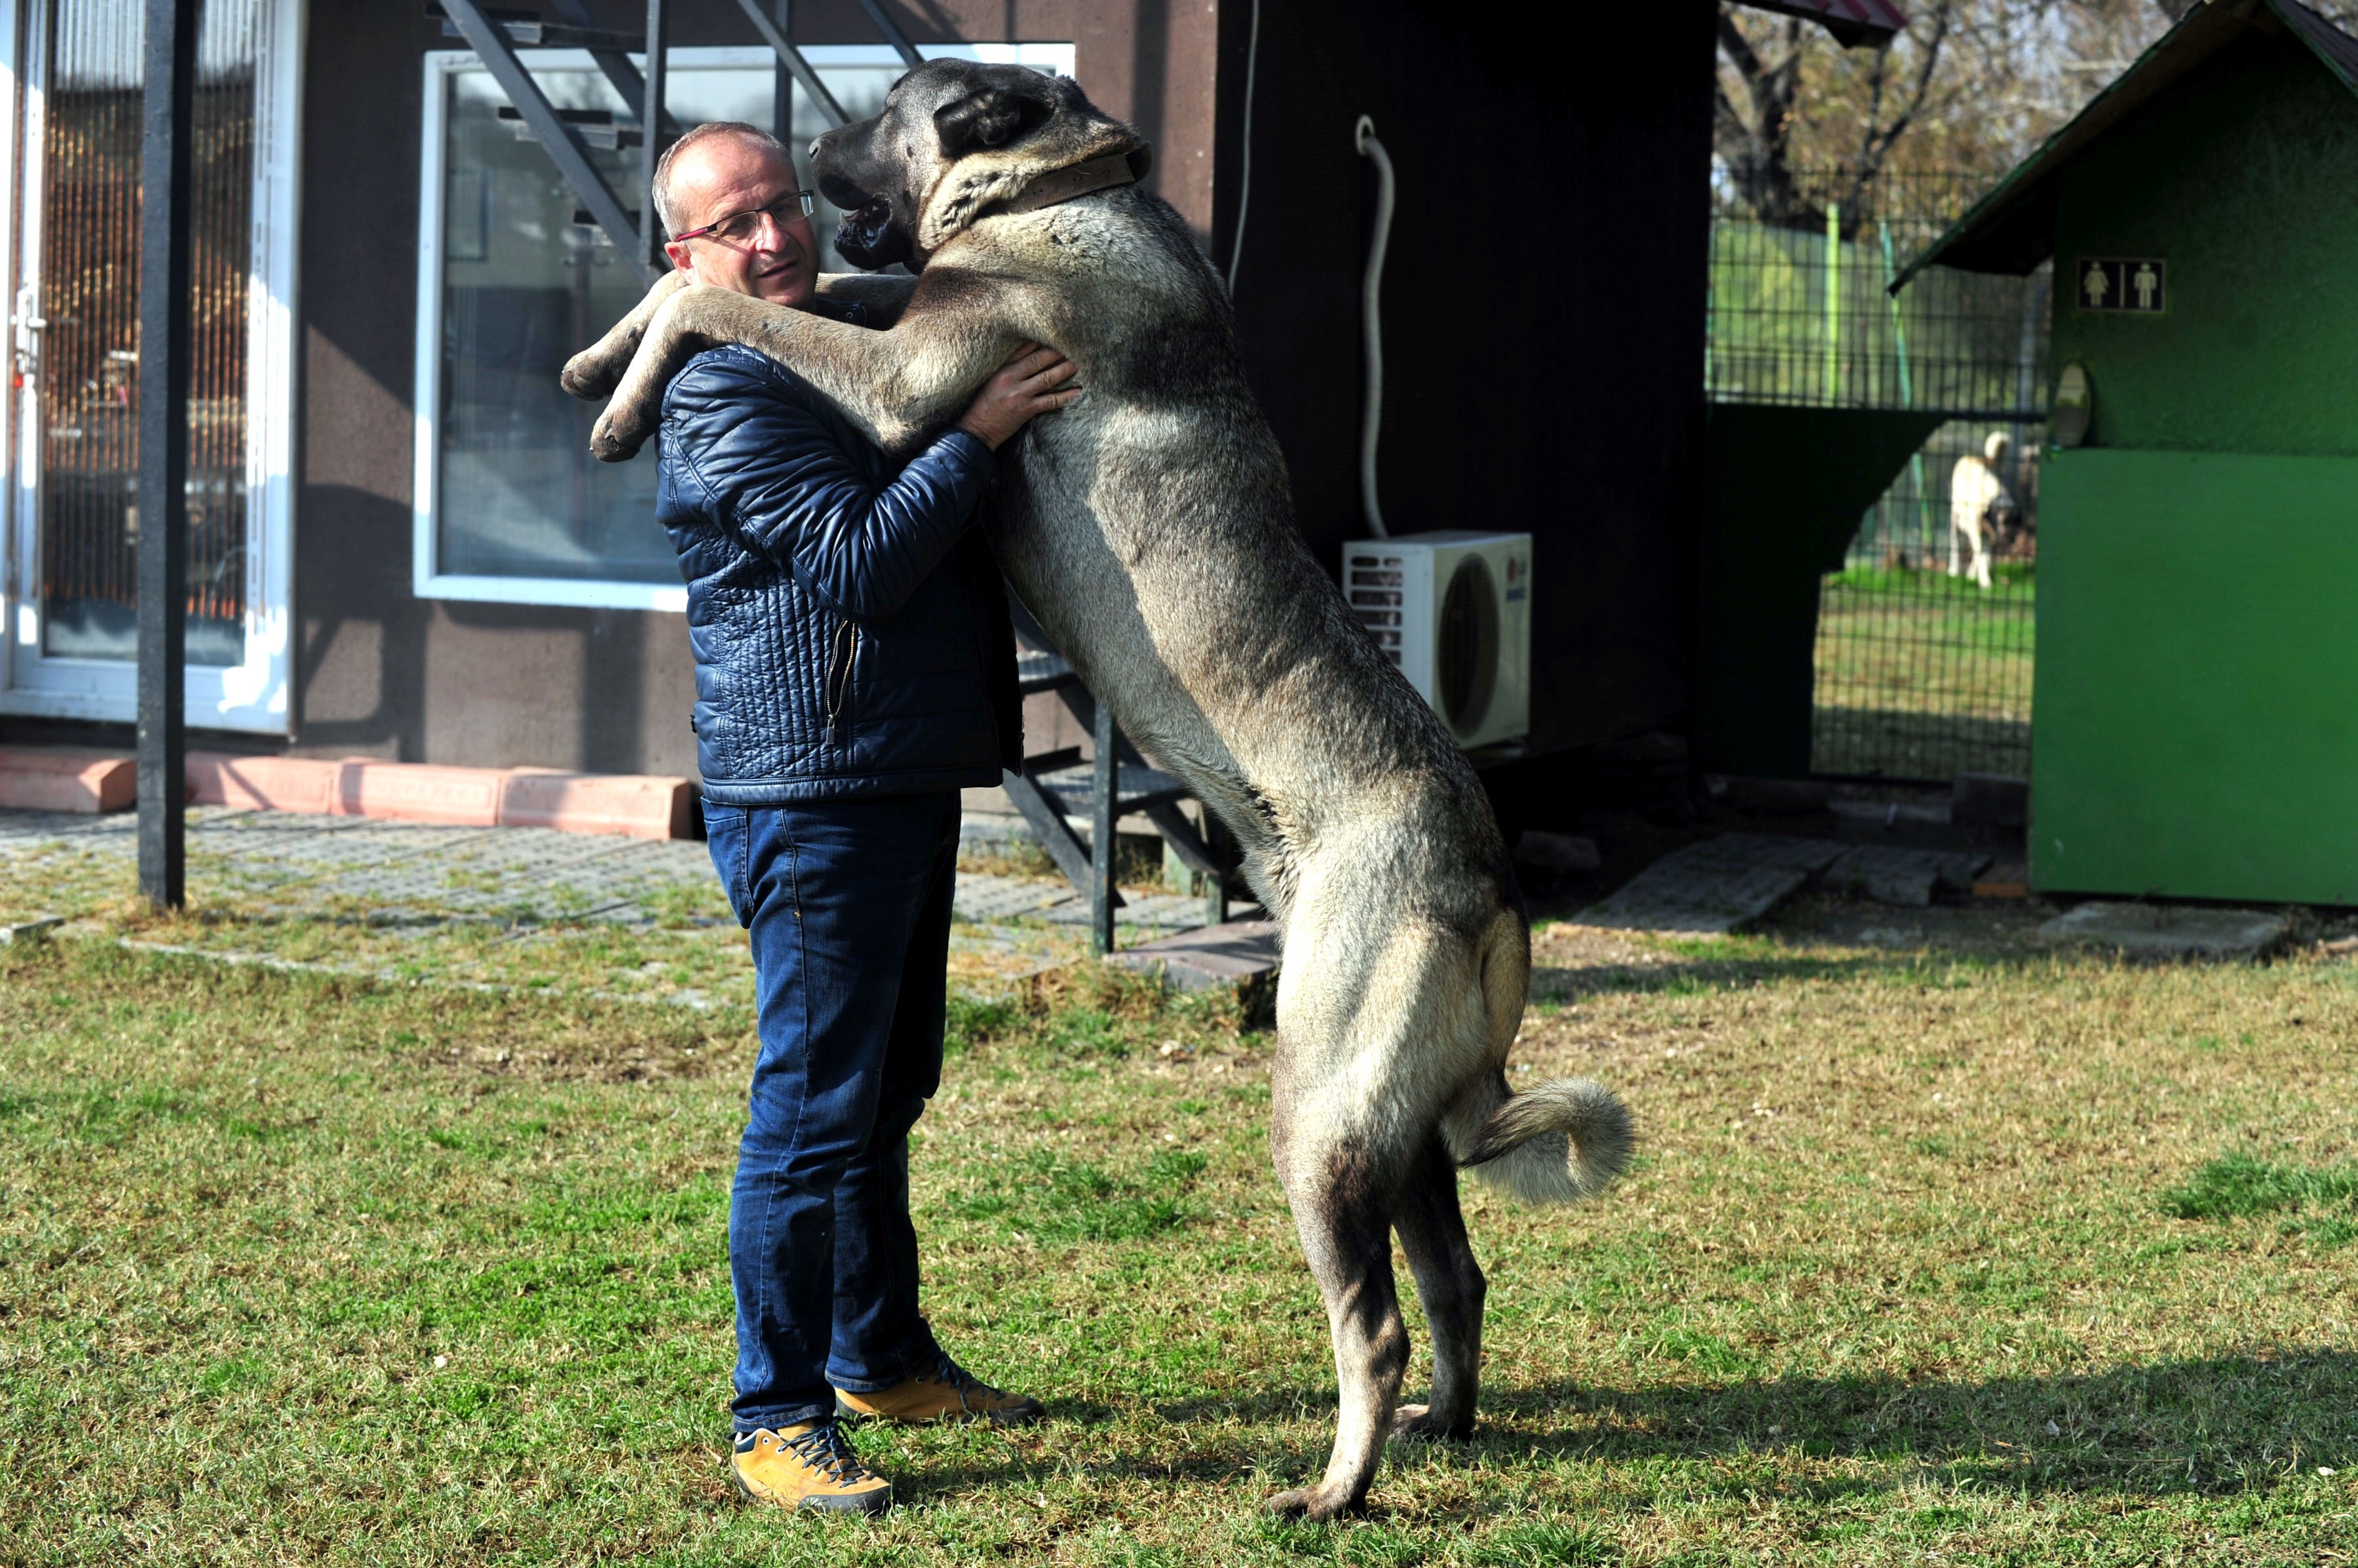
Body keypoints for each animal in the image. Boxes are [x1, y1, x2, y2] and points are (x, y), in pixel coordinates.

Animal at [561, 61, 1631, 1518]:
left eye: (882, 113)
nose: (809, 141)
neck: (1058, 188)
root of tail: (1488, 887)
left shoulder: (901, 381)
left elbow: (720, 301)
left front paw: (622, 403)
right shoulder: (891, 319)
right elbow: (773, 290)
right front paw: (595, 361)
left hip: (1319, 1111)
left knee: (1372, 1321)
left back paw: (1330, 1490)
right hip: (1393, 1122)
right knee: (1453, 1275)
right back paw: (1439, 1430)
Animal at [1943, 431, 2018, 589]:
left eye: (2015, 521)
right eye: (2004, 521)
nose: (2012, 540)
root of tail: (1970, 457)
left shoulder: (1987, 535)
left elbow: (1983, 557)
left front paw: (1974, 575)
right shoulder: (1976, 532)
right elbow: (1980, 556)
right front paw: (1984, 581)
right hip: (1957, 522)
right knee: (1956, 546)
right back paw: (1954, 570)